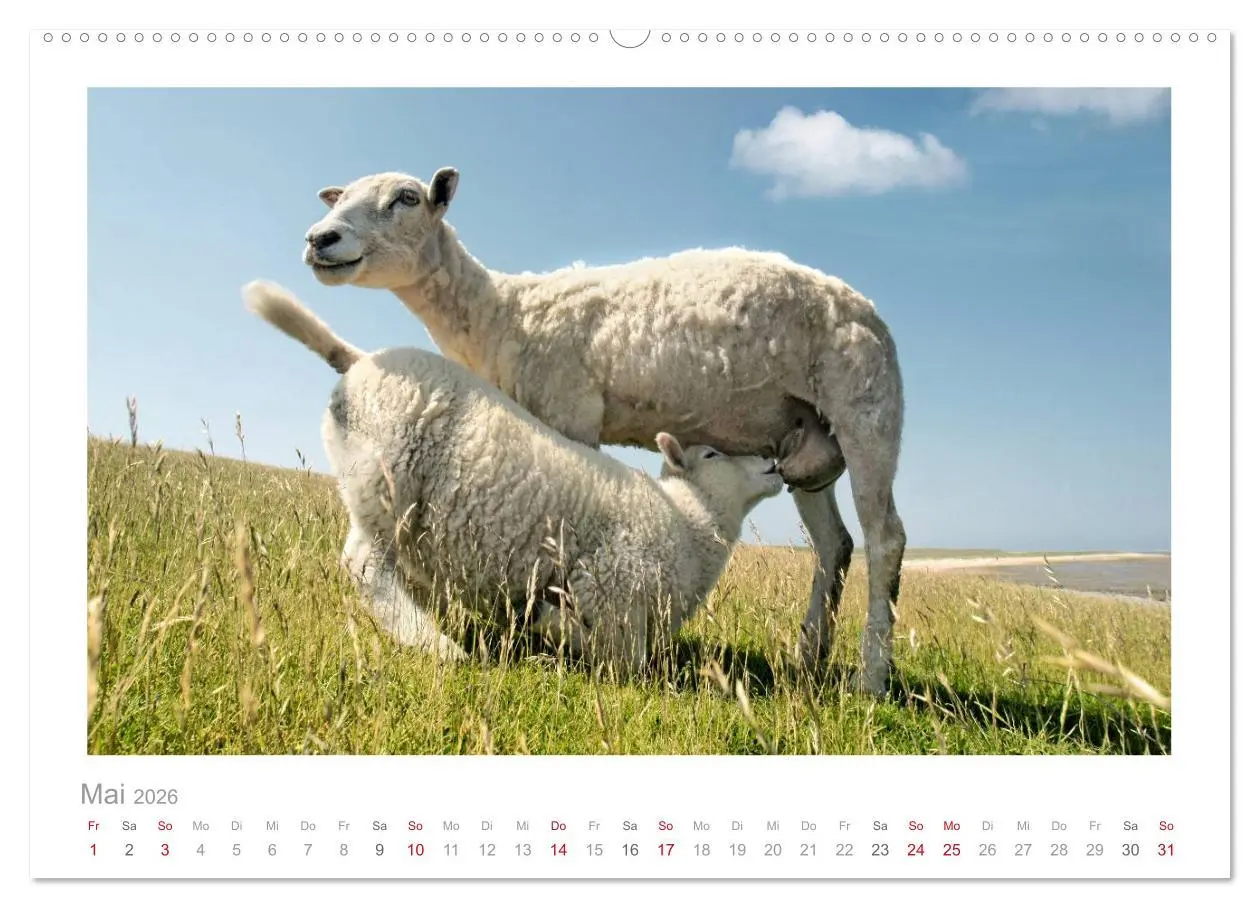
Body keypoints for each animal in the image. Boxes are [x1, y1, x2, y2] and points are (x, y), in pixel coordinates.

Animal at [243, 280, 785, 674]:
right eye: (712, 454)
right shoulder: (610, 586)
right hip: (387, 478)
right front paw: (551, 625)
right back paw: (435, 644)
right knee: (364, 564)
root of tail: (360, 362)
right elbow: (621, 659)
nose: (773, 464)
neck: (689, 524)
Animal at [301, 168, 906, 695]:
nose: (319, 238)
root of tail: (871, 311)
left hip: (867, 410)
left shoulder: (569, 410)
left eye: (406, 198)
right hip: (805, 439)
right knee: (835, 545)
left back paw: (871, 677)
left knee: (885, 541)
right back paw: (809, 657)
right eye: (339, 196)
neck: (501, 313)